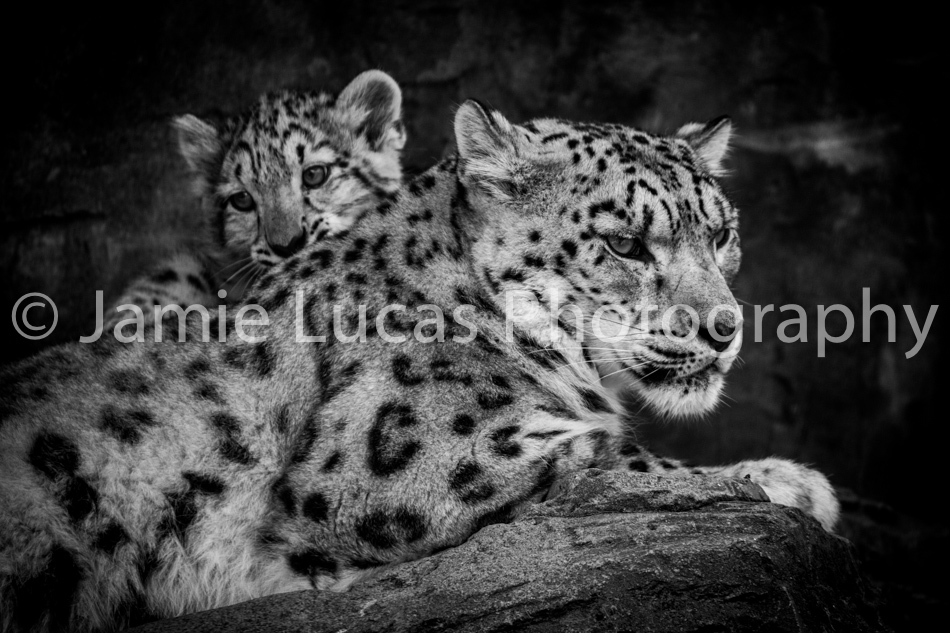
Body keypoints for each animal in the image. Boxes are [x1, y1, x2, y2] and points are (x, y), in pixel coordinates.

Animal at [0, 100, 838, 632]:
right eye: (625, 242)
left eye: (721, 233)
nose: (724, 327)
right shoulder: (408, 467)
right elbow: (607, 454)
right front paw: (789, 480)